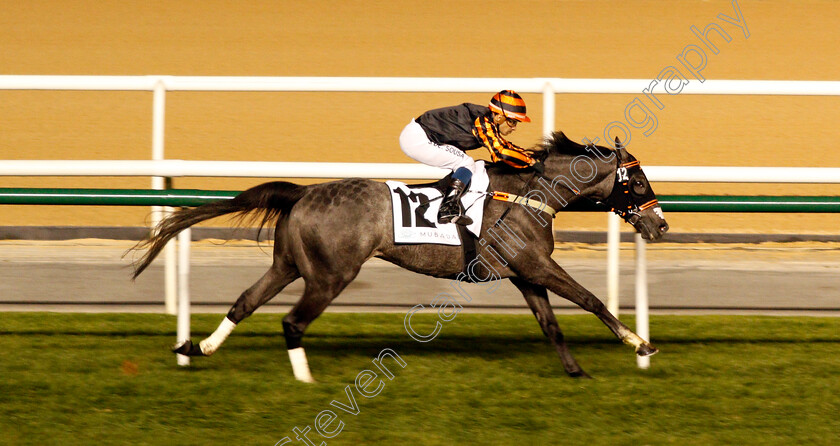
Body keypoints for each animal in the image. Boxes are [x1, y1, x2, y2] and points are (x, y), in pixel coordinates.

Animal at [131, 131, 668, 382]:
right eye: (640, 182)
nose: (660, 225)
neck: (529, 193)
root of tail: (303, 192)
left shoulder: (525, 273)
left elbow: (552, 324)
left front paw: (576, 371)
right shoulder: (536, 266)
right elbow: (592, 300)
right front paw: (640, 344)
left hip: (288, 264)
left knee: (245, 301)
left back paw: (198, 348)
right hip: (331, 274)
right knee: (292, 321)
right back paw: (305, 378)